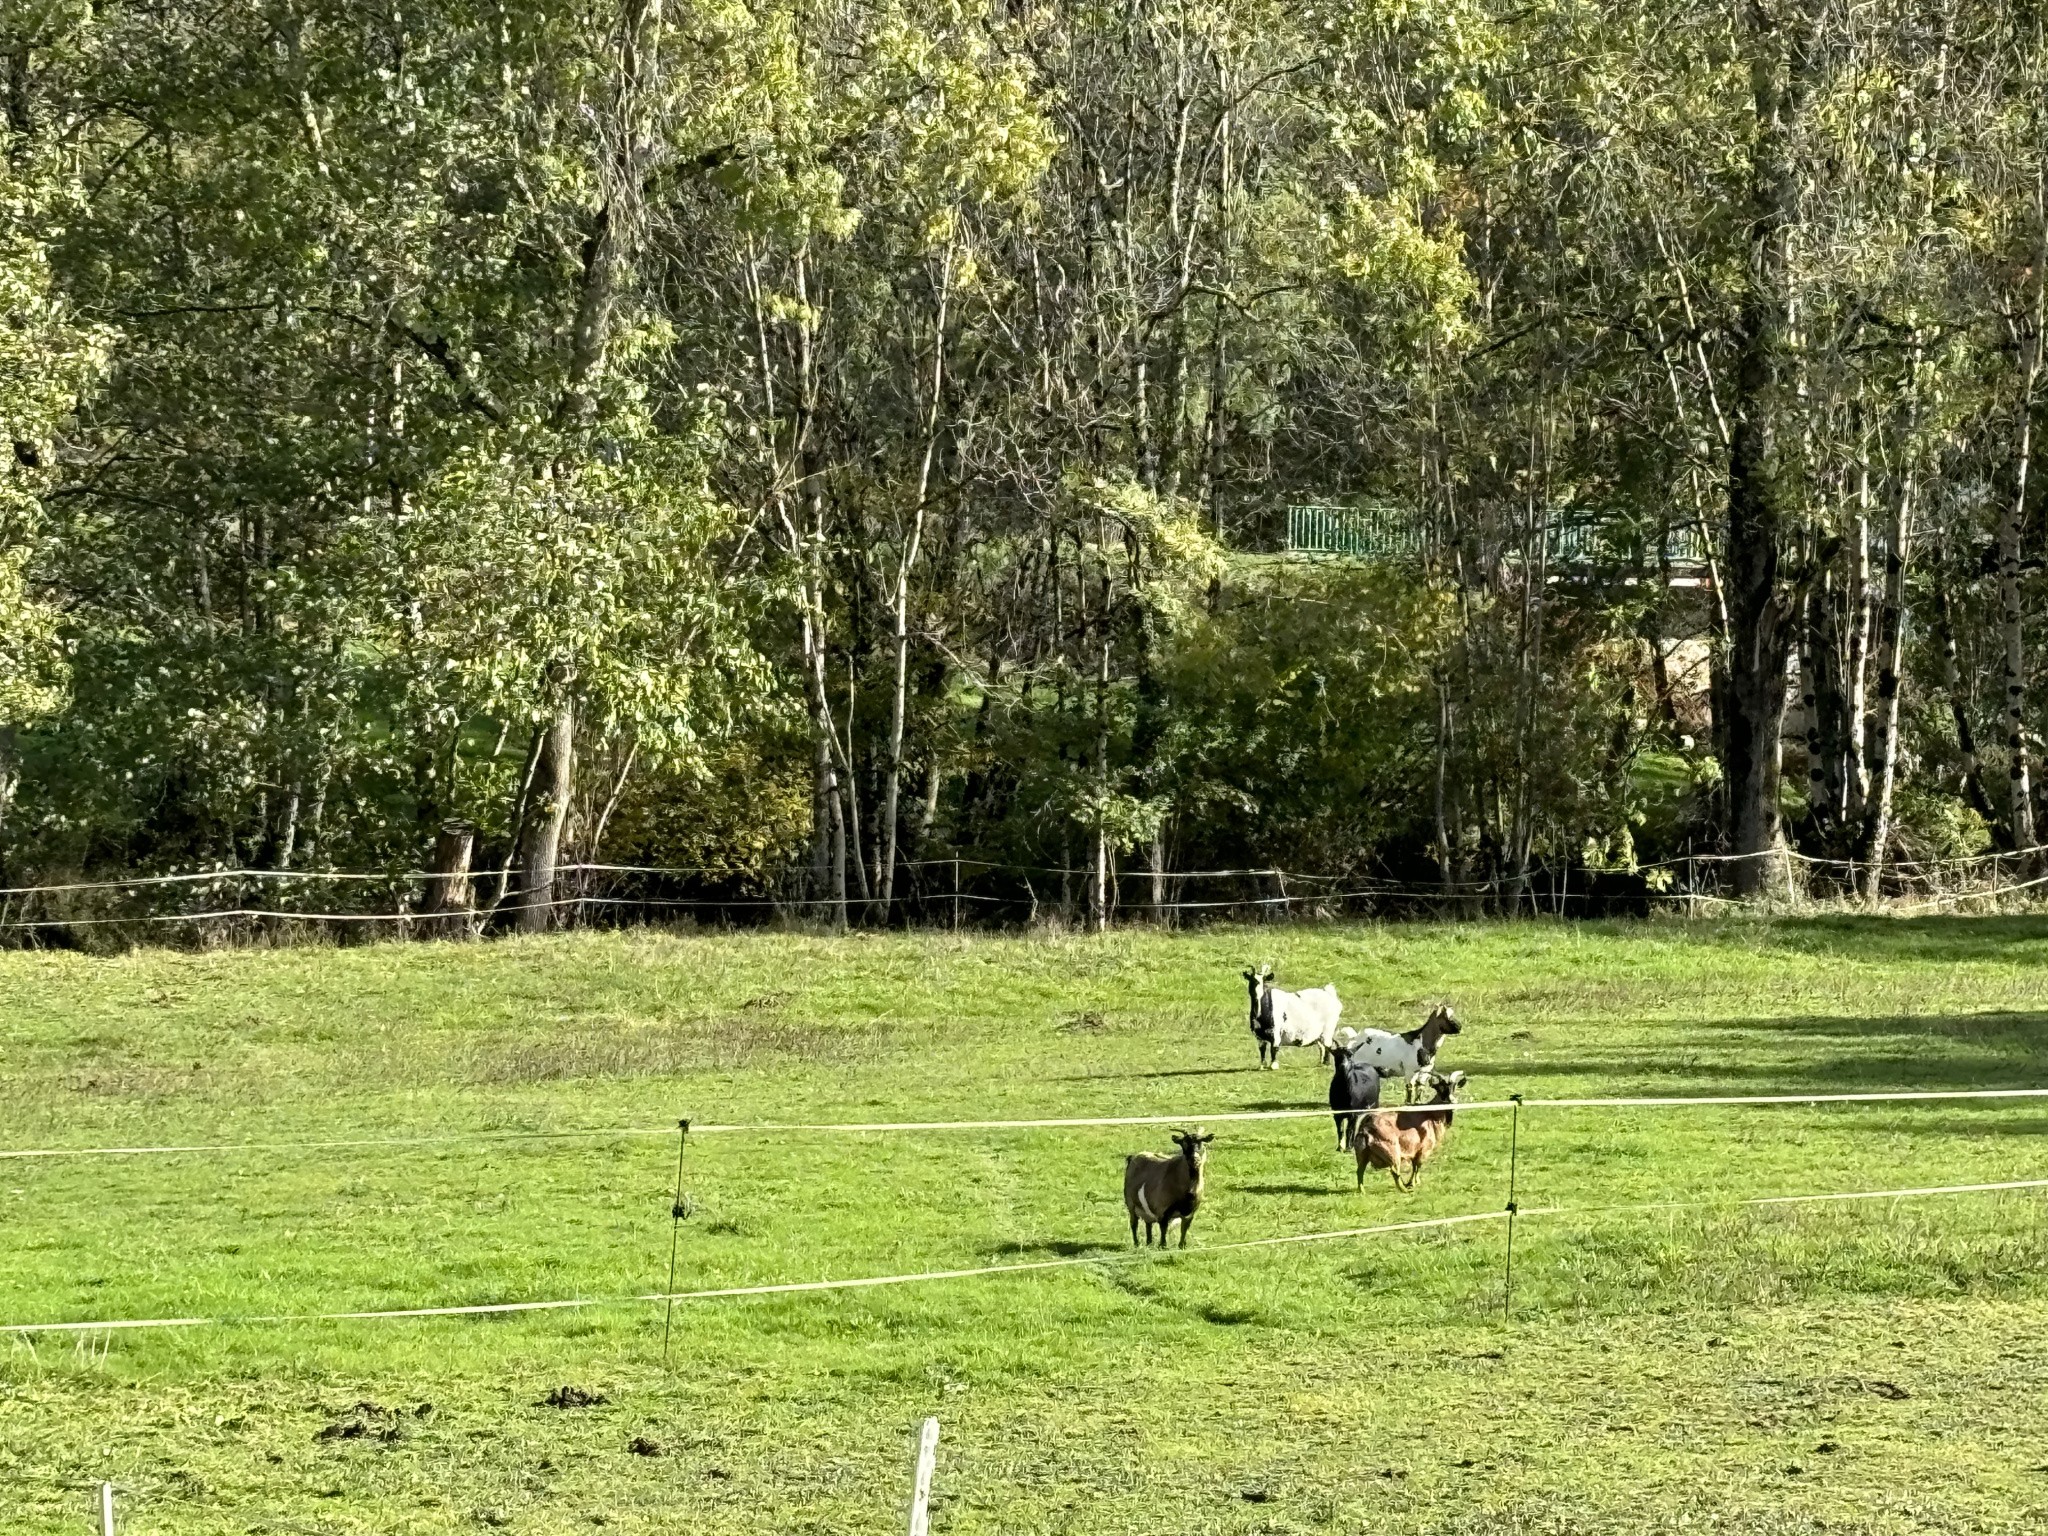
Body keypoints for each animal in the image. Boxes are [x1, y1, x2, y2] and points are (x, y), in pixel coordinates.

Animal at [1327, 1003, 1458, 1097]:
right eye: (1446, 1017)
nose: (1459, 1027)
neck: (1421, 1042)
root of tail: (1355, 1038)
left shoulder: (1425, 1072)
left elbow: (1420, 1089)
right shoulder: (1410, 1071)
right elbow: (1409, 1088)